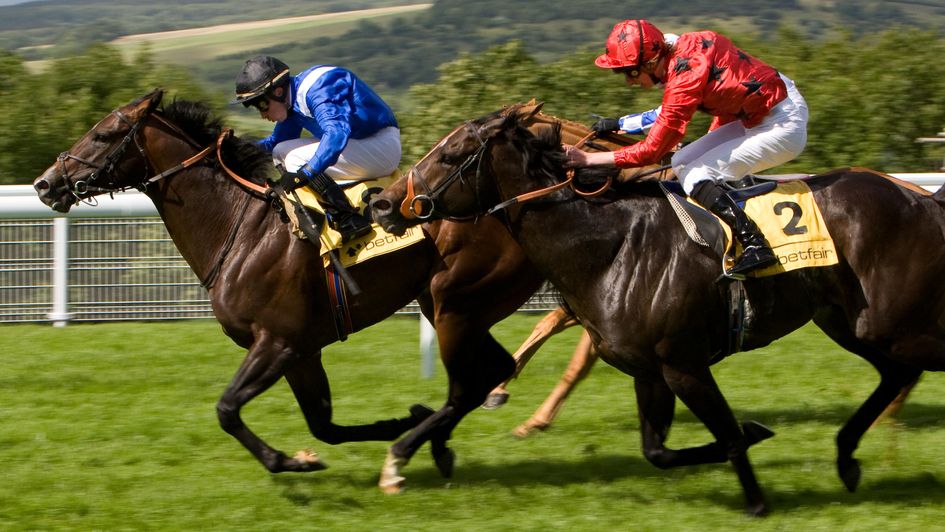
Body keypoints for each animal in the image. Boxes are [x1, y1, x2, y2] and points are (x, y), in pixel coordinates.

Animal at [372, 104, 944, 516]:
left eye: (451, 155)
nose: (384, 203)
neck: (611, 242)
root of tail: (920, 198)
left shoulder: (683, 364)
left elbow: (727, 436)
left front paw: (758, 499)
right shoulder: (649, 370)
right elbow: (660, 451)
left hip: (890, 321)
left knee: (909, 368)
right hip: (851, 324)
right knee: (895, 374)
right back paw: (847, 456)